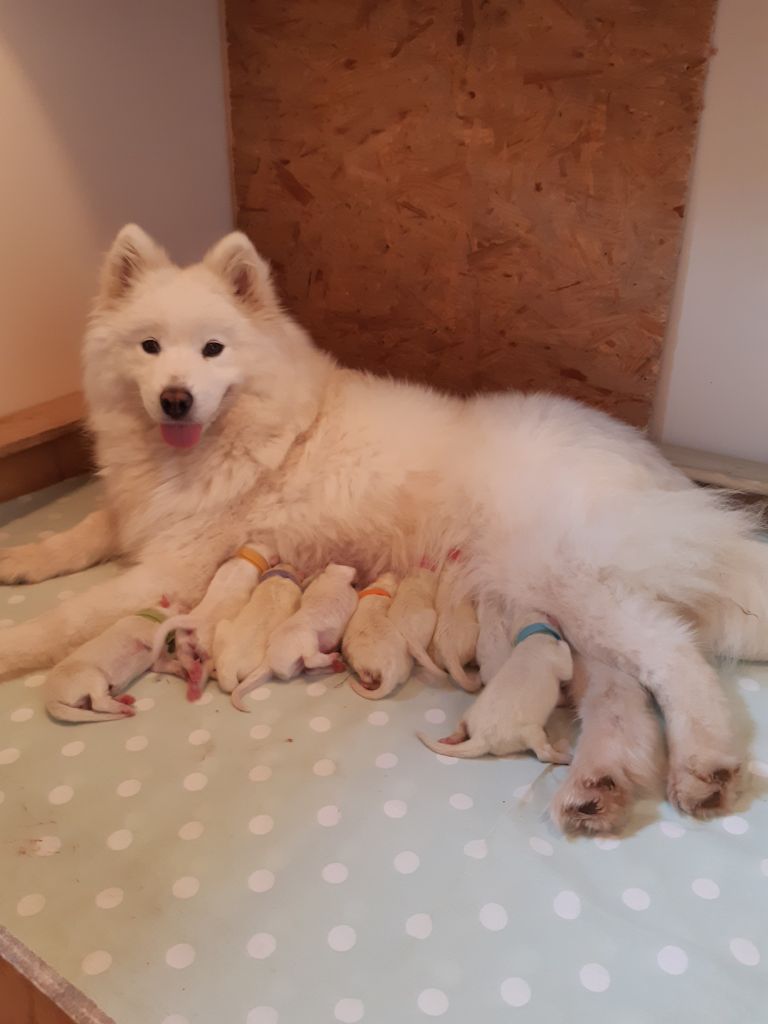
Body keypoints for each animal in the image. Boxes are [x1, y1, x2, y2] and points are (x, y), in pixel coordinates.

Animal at [45, 603, 180, 723]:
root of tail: (50, 699)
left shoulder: (156, 660)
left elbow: (161, 664)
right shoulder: (146, 632)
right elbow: (158, 635)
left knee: (91, 706)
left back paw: (124, 700)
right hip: (91, 676)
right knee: (98, 703)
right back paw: (124, 707)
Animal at [233, 563, 357, 695]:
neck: (333, 578)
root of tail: (268, 661)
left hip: (296, 666)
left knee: (309, 670)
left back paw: (337, 666)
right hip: (307, 639)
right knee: (310, 660)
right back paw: (334, 656)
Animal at [418, 612, 573, 762]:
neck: (532, 635)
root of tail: (481, 737)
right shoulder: (556, 656)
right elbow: (568, 669)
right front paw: (564, 643)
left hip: (469, 714)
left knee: (460, 726)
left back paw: (452, 739)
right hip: (530, 732)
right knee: (543, 753)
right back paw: (565, 757)